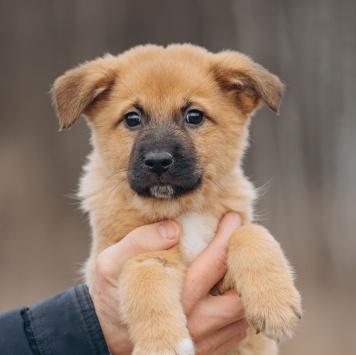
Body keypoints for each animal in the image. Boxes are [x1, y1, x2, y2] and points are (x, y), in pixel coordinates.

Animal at [51, 45, 302, 355]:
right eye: (132, 118)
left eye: (194, 116)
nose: (158, 161)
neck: (182, 210)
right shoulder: (137, 254)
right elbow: (144, 276)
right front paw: (162, 343)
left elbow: (250, 233)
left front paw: (275, 303)